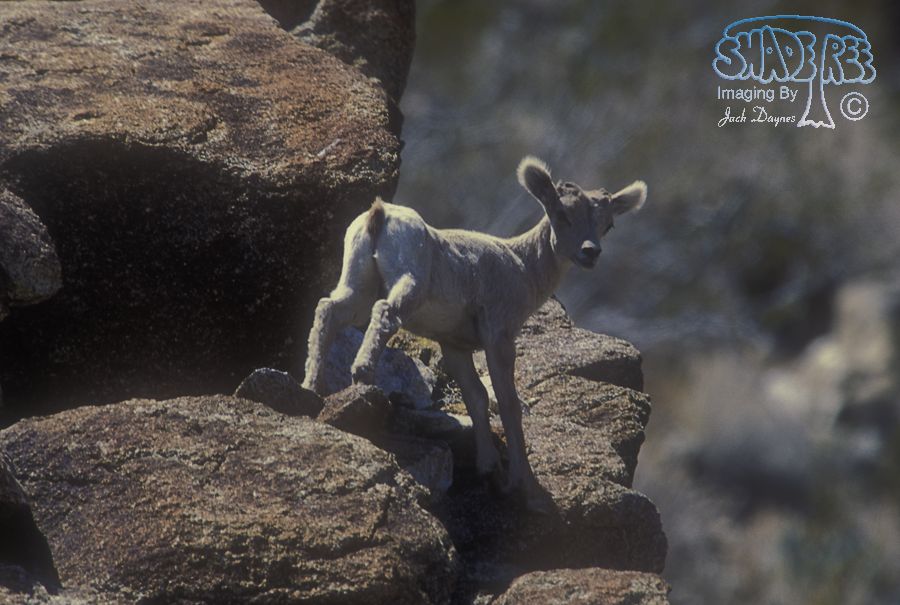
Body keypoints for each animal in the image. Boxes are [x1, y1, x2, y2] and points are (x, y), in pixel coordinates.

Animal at [301, 156, 647, 512]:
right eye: (562, 214)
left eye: (607, 225)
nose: (590, 252)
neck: (524, 266)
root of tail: (379, 215)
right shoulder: (498, 336)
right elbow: (508, 403)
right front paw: (522, 487)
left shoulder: (455, 347)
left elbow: (477, 398)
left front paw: (488, 467)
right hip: (407, 284)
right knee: (384, 312)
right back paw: (361, 374)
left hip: (357, 285)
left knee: (328, 310)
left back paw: (312, 386)